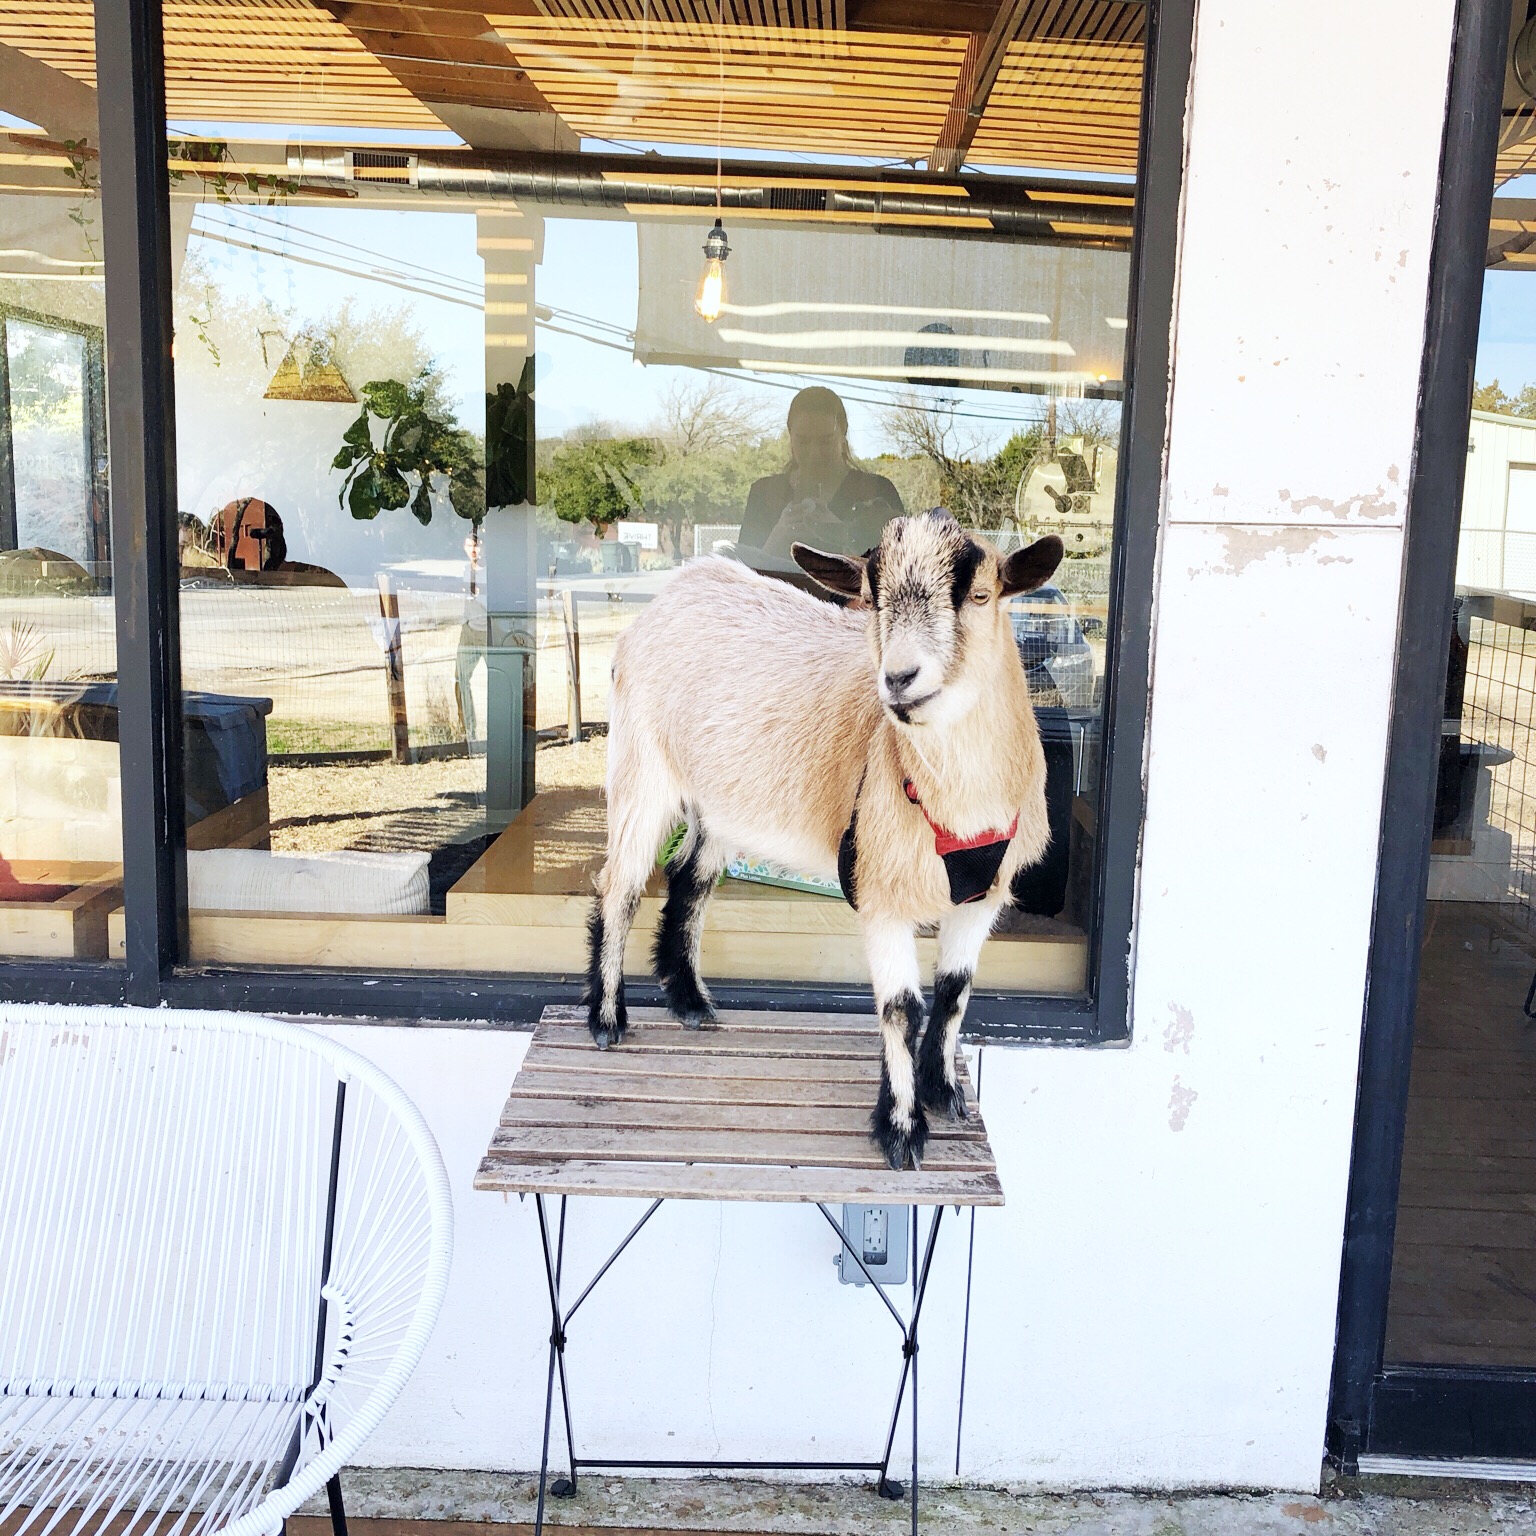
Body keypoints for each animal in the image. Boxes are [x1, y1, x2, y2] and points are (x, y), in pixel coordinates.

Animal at [586, 509, 1069, 1167]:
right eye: (872, 597)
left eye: (979, 594)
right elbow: (902, 1008)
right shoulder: (882, 887)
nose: (899, 678)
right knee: (621, 886)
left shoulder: (983, 894)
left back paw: (690, 1002)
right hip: (642, 767)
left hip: (721, 799)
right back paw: (607, 1019)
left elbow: (955, 991)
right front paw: (901, 1132)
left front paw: (944, 1093)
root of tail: (678, 587)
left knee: (690, 880)